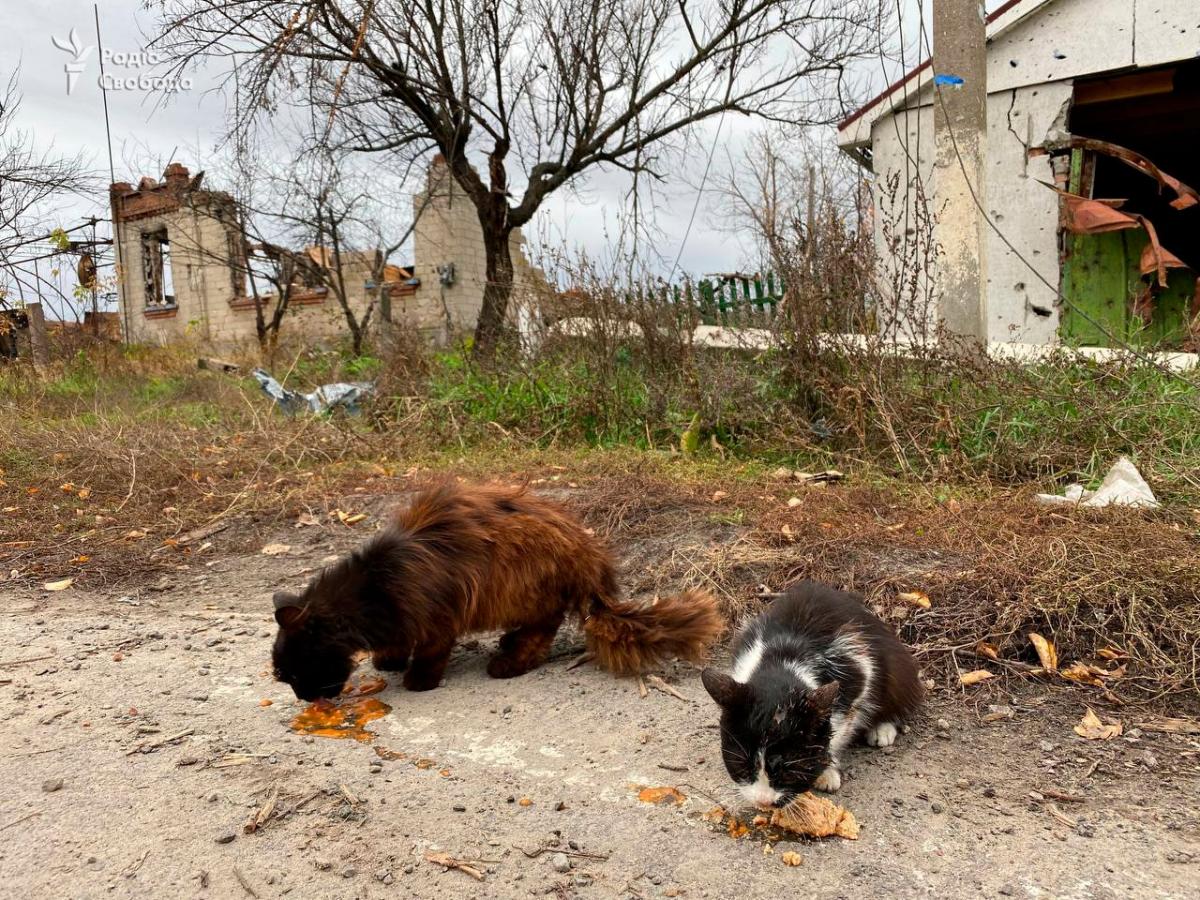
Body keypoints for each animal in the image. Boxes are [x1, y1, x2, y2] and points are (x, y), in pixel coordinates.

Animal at [273, 482, 720, 700]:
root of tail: (588, 553)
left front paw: (417, 680)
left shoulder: (438, 618)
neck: (375, 588)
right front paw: (389, 660)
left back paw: (508, 661)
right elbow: (397, 643)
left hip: (522, 588)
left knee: (541, 634)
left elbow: (430, 653)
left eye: (293, 672)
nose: (304, 699)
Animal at [700, 580, 921, 816]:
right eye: (741, 766)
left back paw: (882, 729)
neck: (782, 662)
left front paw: (826, 770)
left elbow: (842, 723)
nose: (764, 801)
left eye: (789, 770)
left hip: (898, 666)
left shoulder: (859, 673)